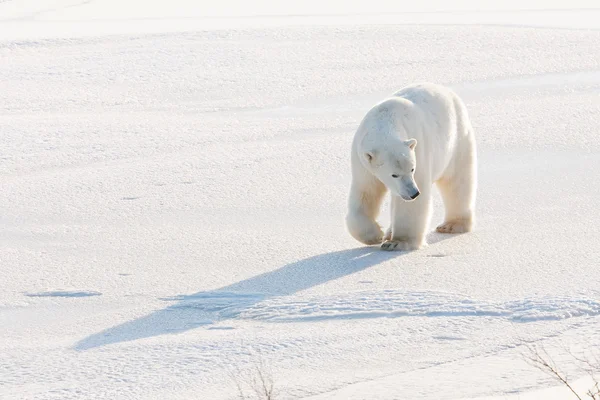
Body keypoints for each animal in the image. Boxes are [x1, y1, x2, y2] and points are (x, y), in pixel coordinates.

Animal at [344, 82, 476, 250]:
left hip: (458, 141)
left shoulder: (419, 149)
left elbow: (411, 205)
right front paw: (375, 236)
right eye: (394, 174)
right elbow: (366, 192)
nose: (414, 193)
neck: (386, 119)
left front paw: (397, 242)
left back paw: (452, 225)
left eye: (412, 169)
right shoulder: (362, 163)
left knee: (457, 182)